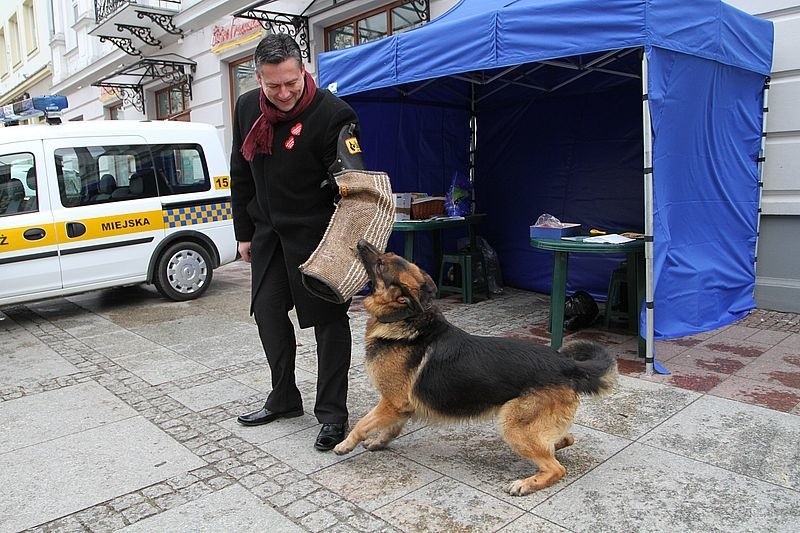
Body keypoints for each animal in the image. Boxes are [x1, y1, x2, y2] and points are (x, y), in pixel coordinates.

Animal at [332, 241, 620, 494]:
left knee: (556, 468)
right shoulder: (401, 406)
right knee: (562, 441)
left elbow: (363, 423)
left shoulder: (392, 402)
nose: (361, 242)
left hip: (511, 424)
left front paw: (345, 444)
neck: (405, 317)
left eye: (381, 264)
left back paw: (526, 484)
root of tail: (566, 364)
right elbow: (390, 428)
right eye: (387, 256)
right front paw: (378, 442)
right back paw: (551, 449)